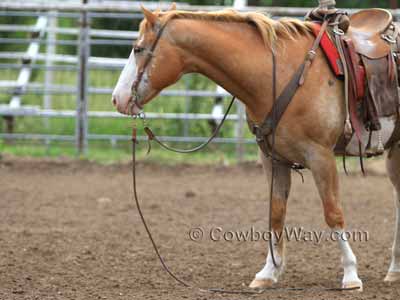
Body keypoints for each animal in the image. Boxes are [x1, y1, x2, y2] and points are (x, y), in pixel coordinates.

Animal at [111, 4, 400, 290]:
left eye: (138, 49)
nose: (117, 99)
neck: (280, 74)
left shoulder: (320, 156)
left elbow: (333, 213)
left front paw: (350, 275)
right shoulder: (273, 159)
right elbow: (276, 214)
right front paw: (269, 272)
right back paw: (394, 270)